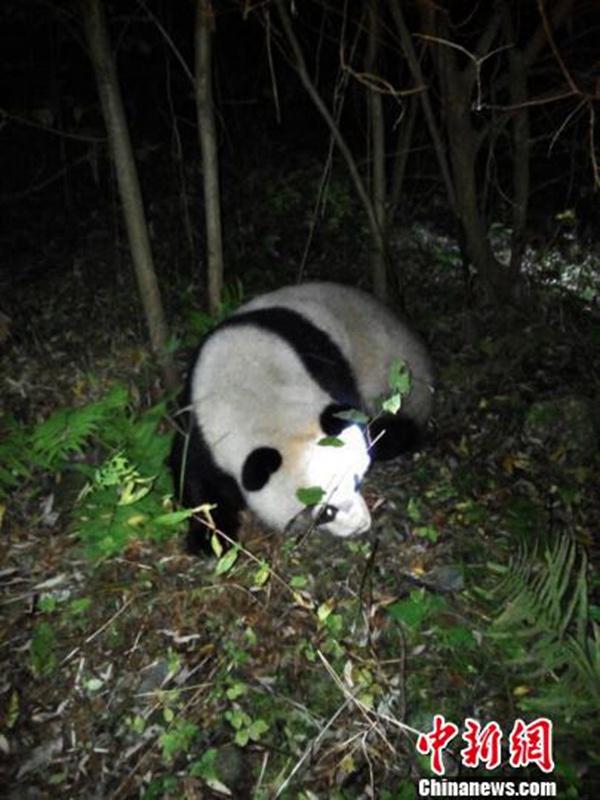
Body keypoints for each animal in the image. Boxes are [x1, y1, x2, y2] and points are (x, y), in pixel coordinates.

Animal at [170, 282, 433, 554]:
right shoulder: (202, 422)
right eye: (326, 512)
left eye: (357, 481)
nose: (362, 525)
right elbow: (195, 476)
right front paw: (209, 541)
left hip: (397, 377)